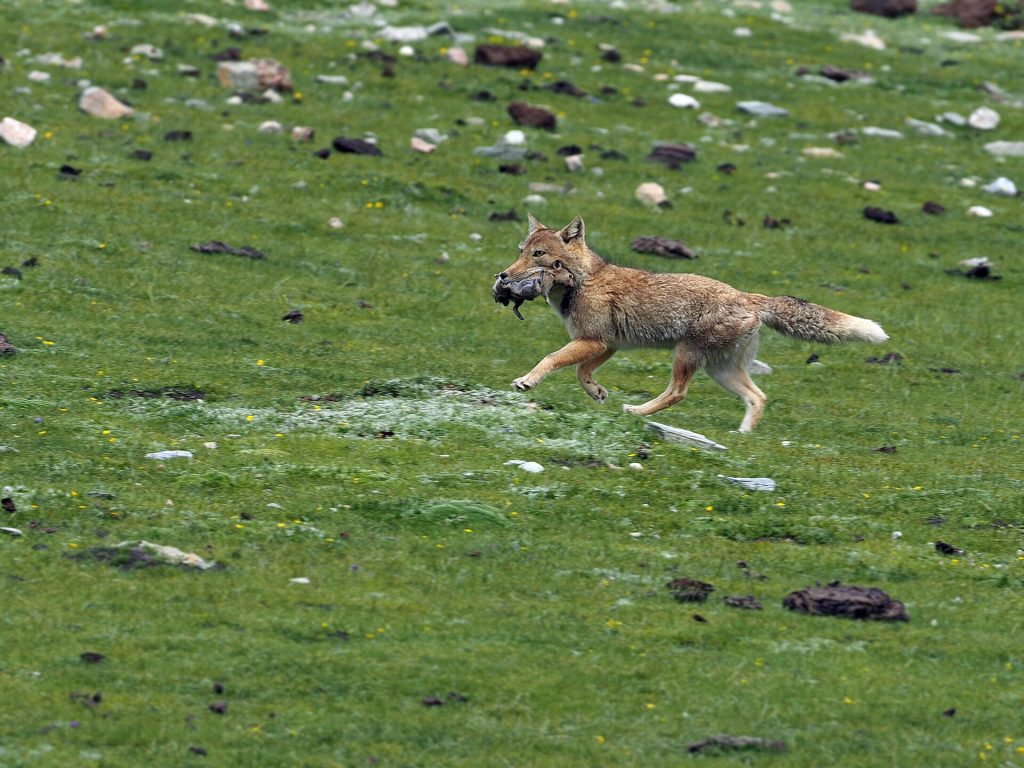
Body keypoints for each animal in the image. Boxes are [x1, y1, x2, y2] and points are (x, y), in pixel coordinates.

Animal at [492, 214, 888, 432]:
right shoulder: (607, 344)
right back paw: (742, 436)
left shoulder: (594, 341)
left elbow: (552, 360)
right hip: (721, 370)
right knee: (758, 397)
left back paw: (636, 411)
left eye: (539, 255)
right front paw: (596, 391)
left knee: (677, 393)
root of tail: (748, 297)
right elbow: (580, 372)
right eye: (521, 251)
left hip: (685, 357)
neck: (584, 280)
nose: (503, 276)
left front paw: (527, 381)